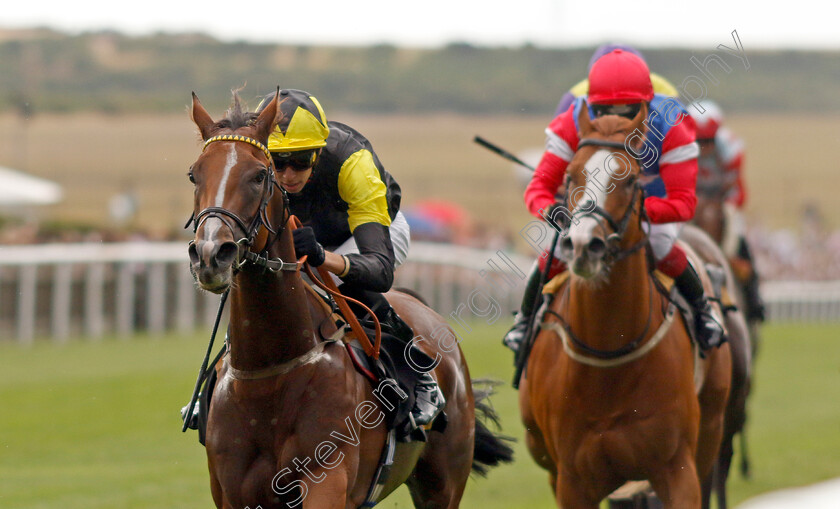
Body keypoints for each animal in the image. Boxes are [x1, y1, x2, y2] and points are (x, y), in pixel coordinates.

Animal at [186, 90, 508, 508]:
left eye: (259, 174)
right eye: (194, 174)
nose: (211, 254)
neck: (270, 372)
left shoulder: (326, 478)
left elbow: (378, 262)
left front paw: (309, 244)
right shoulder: (231, 491)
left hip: (443, 482)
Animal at [520, 101, 732, 506]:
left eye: (632, 179)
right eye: (570, 174)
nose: (584, 245)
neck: (609, 354)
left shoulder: (678, 468)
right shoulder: (571, 480)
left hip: (712, 425)